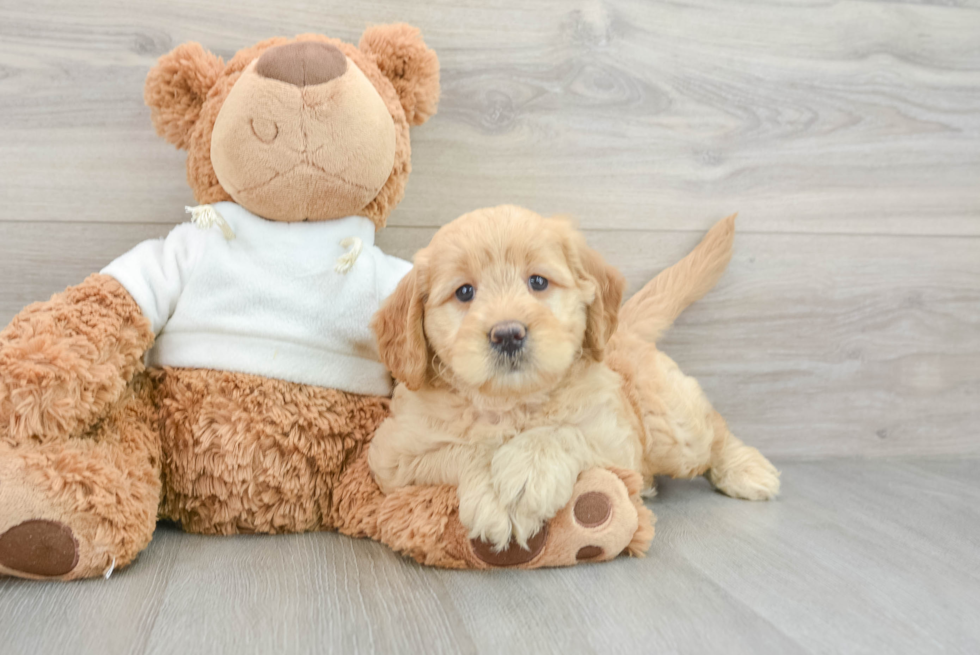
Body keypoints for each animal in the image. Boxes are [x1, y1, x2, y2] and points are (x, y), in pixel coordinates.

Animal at [364, 204, 776, 548]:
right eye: (464, 292)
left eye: (538, 282)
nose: (508, 334)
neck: (513, 402)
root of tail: (624, 325)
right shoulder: (393, 458)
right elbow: (466, 448)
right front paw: (495, 494)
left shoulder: (615, 438)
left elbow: (565, 432)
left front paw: (527, 469)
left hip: (669, 427)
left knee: (711, 428)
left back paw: (746, 469)